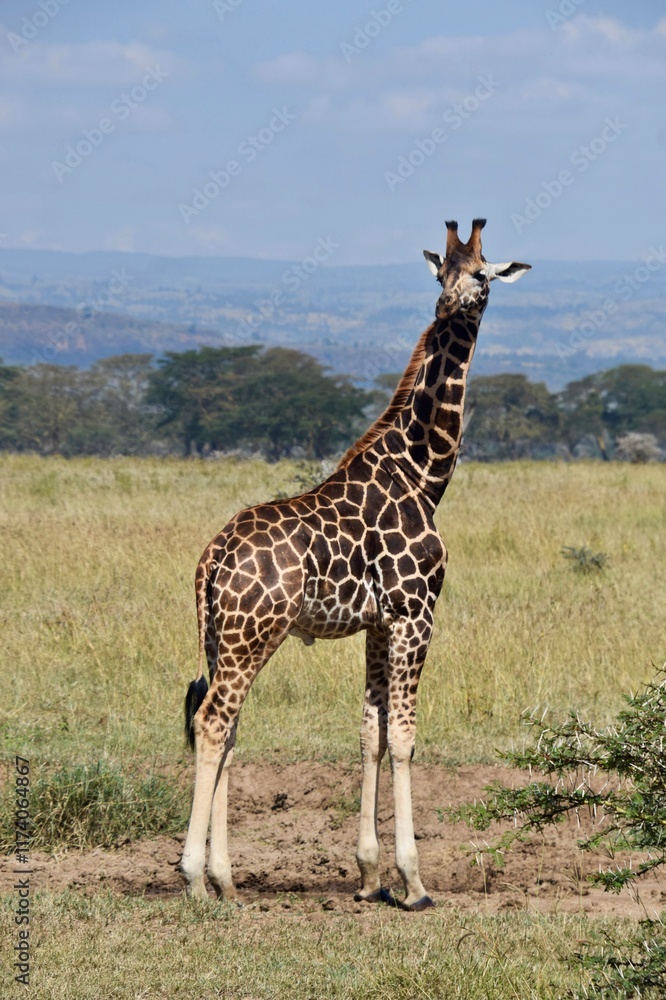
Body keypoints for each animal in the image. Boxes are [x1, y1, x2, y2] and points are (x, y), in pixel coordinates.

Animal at [179, 219, 530, 910]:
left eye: (479, 274)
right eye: (443, 272)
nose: (449, 306)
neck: (423, 473)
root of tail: (212, 559)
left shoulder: (376, 622)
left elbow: (371, 732)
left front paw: (369, 876)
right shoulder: (416, 612)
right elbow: (405, 737)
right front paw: (413, 881)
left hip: (221, 638)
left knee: (227, 728)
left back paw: (226, 878)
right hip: (253, 634)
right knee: (212, 722)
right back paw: (194, 879)